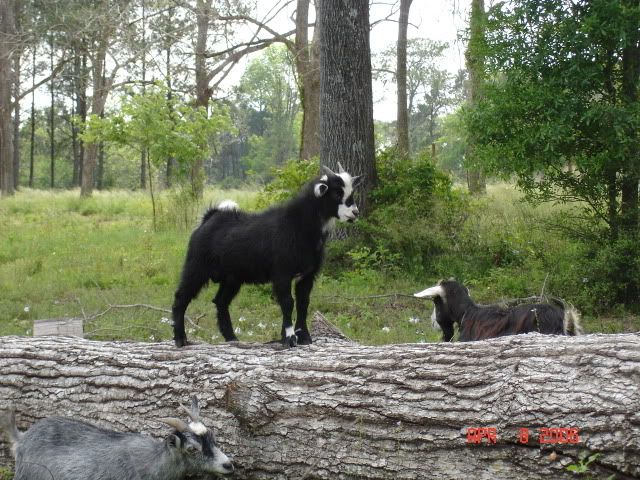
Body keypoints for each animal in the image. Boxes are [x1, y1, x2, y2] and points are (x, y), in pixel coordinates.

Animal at [172, 163, 362, 348]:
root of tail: (209, 218)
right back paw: (181, 339)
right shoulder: (281, 273)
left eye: (351, 191)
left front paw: (304, 337)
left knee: (220, 301)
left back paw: (232, 339)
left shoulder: (307, 275)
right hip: (196, 267)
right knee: (181, 298)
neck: (298, 225)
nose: (355, 213)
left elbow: (303, 303)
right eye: (337, 192)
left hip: (232, 278)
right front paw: (289, 338)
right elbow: (287, 302)